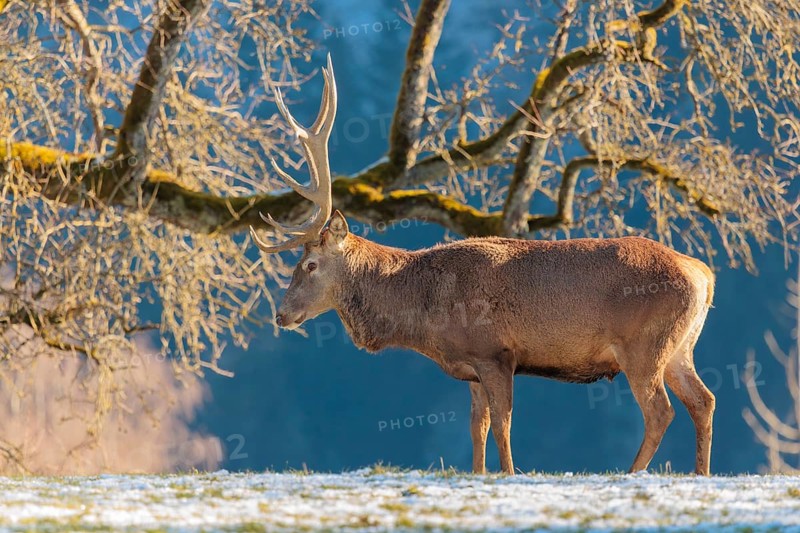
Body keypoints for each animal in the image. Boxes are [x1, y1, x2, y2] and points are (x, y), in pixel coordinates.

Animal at [251, 56, 717, 476]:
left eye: (310, 264)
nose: (281, 314)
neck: (425, 312)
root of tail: (703, 274)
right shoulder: (471, 367)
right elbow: (478, 427)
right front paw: (478, 472)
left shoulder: (495, 351)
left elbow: (503, 425)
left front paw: (509, 473)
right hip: (681, 346)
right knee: (704, 400)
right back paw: (700, 473)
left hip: (644, 344)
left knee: (660, 411)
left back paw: (631, 472)